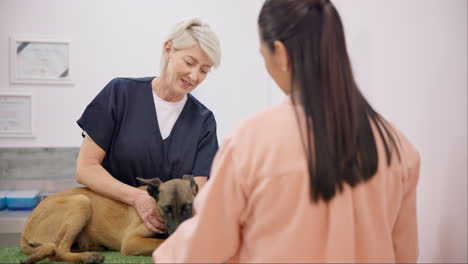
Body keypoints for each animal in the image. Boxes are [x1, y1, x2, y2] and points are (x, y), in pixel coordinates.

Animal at [19, 175, 198, 264]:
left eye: (188, 207)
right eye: (166, 209)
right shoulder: (131, 241)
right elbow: (160, 242)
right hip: (82, 202)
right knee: (57, 251)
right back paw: (88, 257)